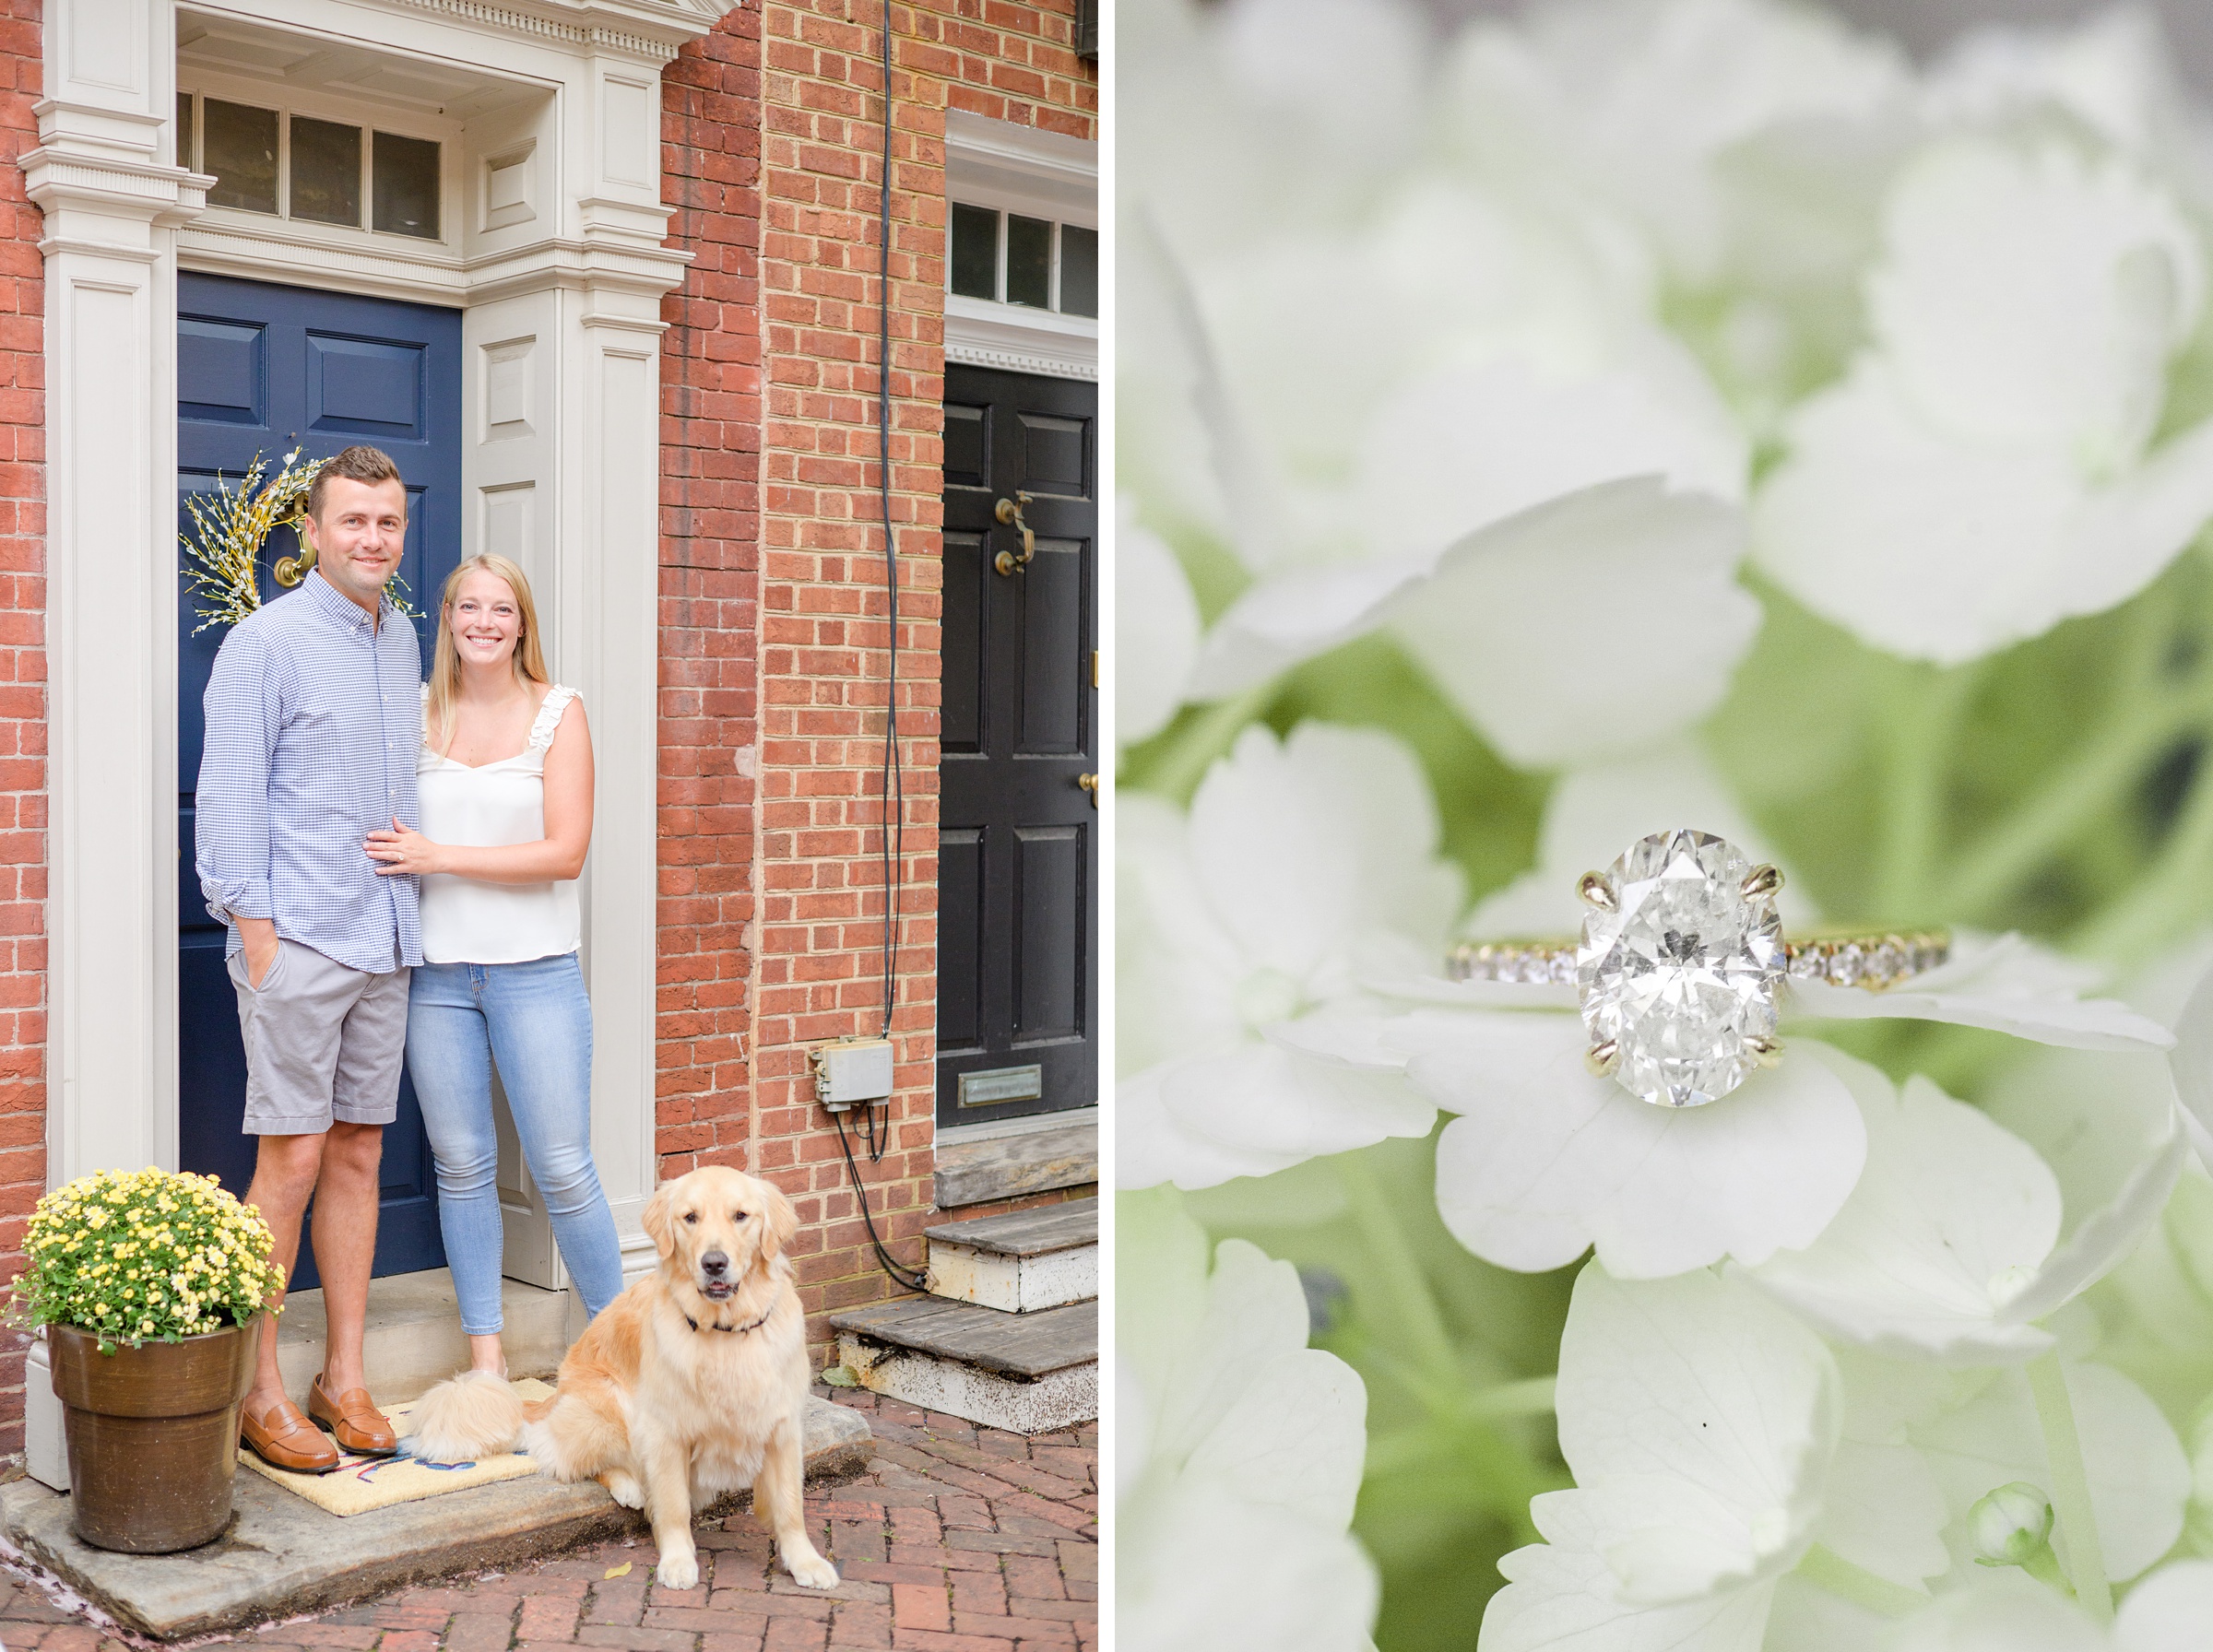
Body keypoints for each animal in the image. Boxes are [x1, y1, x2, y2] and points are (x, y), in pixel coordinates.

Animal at [405, 1159, 836, 1592]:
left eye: (741, 1216)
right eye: (690, 1218)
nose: (713, 1262)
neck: (724, 1332)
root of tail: (554, 1394)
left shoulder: (781, 1429)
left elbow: (790, 1507)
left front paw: (806, 1561)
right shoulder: (665, 1431)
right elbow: (673, 1505)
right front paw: (677, 1560)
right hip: (614, 1402)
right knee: (573, 1457)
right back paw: (629, 1486)